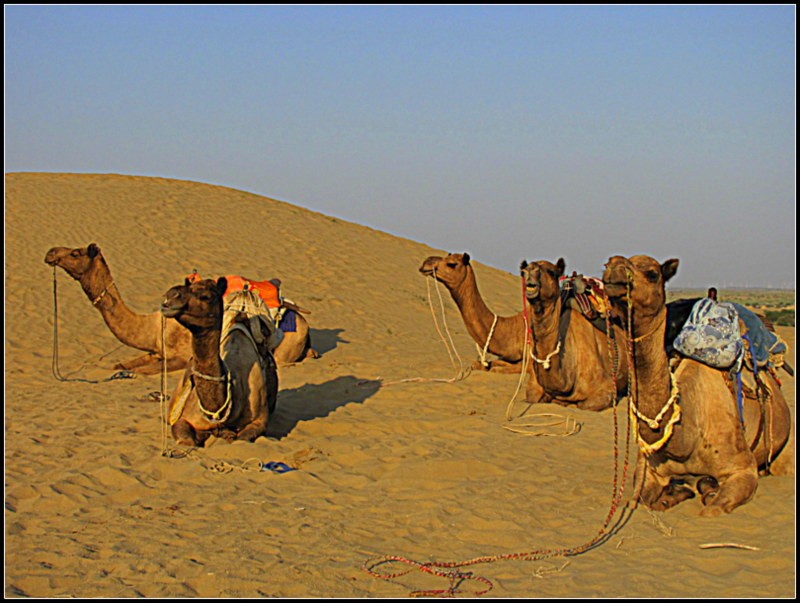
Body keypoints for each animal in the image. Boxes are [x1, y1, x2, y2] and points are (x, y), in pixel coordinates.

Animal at [43, 244, 318, 372]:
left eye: (76, 253)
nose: (51, 252)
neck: (153, 326)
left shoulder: (179, 356)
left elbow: (142, 372)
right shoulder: (156, 351)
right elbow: (120, 366)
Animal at [159, 276, 278, 446]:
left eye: (206, 296)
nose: (171, 295)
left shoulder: (259, 421)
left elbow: (243, 438)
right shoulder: (184, 418)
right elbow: (187, 442)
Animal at [520, 258, 628, 412]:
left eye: (551, 272)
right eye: (523, 272)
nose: (531, 270)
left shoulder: (605, 387)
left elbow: (584, 405)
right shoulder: (533, 387)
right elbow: (532, 397)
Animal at [604, 252, 792, 516]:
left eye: (652, 274)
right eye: (608, 264)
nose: (614, 266)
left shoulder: (743, 470)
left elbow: (710, 512)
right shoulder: (649, 469)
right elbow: (638, 503)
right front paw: (672, 496)